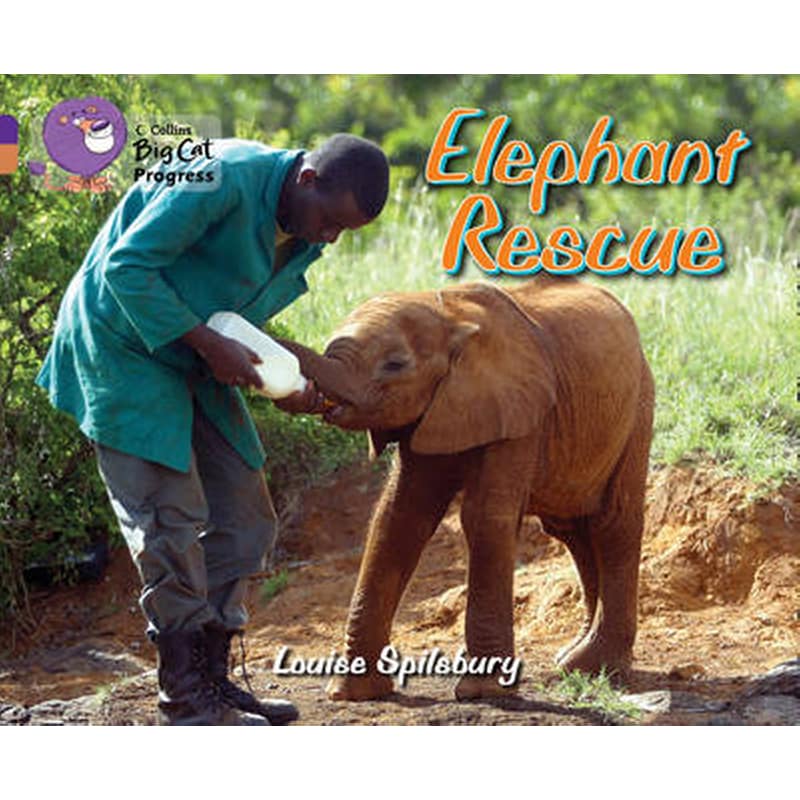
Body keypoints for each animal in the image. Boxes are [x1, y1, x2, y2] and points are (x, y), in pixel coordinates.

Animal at [282, 275, 654, 701]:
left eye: (395, 364)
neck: (449, 316)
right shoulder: (433, 410)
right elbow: (398, 518)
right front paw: (352, 694)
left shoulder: (521, 411)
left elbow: (482, 517)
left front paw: (484, 692)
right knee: (573, 529)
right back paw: (573, 661)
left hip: (637, 406)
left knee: (612, 522)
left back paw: (595, 667)